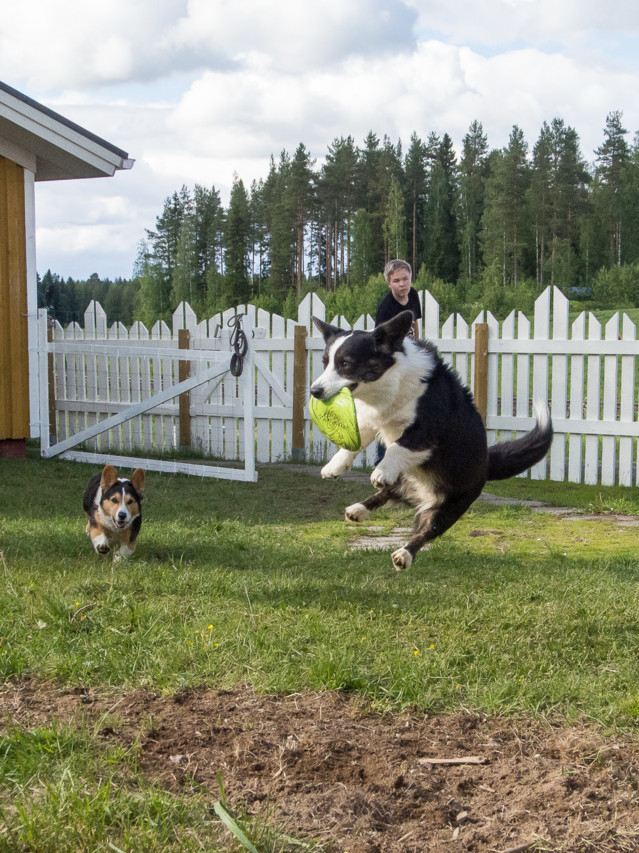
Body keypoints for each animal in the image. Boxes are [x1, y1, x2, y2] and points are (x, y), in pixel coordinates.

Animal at [312, 310, 552, 568]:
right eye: (325, 363)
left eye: (345, 364)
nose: (314, 391)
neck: (391, 382)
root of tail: (487, 464)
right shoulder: (371, 420)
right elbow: (354, 444)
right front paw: (334, 466)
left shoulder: (426, 432)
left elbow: (397, 447)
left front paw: (380, 472)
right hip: (406, 477)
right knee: (389, 493)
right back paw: (359, 509)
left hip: (449, 507)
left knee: (425, 530)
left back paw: (404, 554)